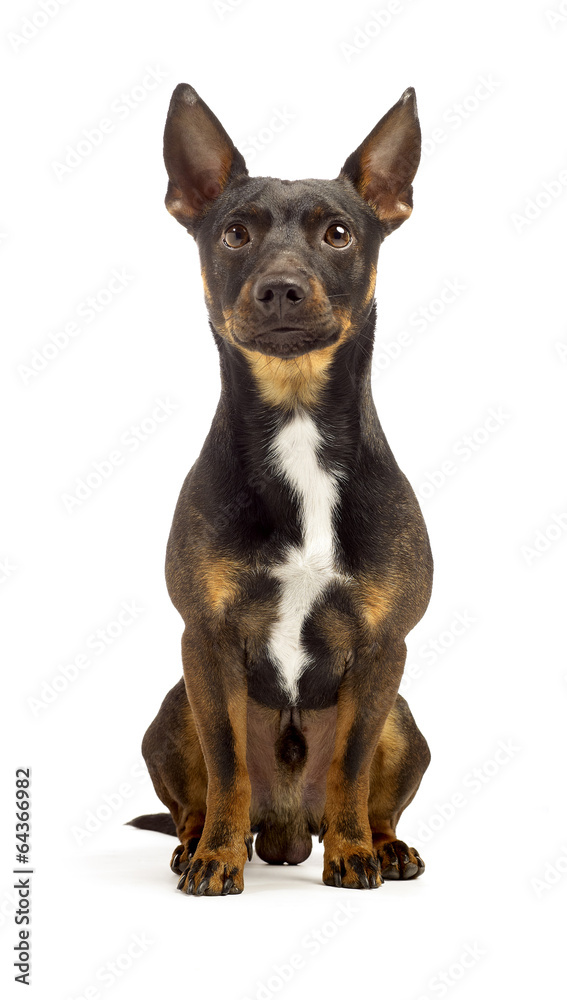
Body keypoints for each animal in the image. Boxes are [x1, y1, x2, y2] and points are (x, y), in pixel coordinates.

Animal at [131, 84, 434, 900]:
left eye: (339, 234)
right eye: (234, 234)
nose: (281, 289)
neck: (297, 425)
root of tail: (289, 829)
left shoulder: (383, 650)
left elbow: (352, 770)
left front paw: (356, 855)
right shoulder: (204, 643)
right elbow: (228, 764)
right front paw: (215, 860)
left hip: (403, 721)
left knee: (371, 794)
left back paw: (384, 847)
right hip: (173, 709)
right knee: (197, 799)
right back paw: (199, 843)